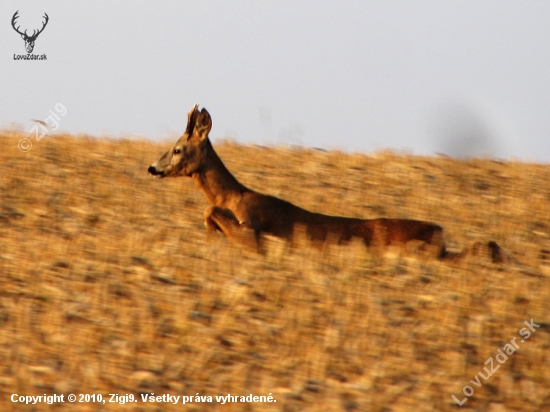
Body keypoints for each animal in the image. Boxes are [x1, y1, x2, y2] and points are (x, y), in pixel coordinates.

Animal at [149, 104, 506, 262]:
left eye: (178, 149)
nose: (153, 167)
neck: (233, 196)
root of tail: (440, 234)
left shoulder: (253, 227)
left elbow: (212, 213)